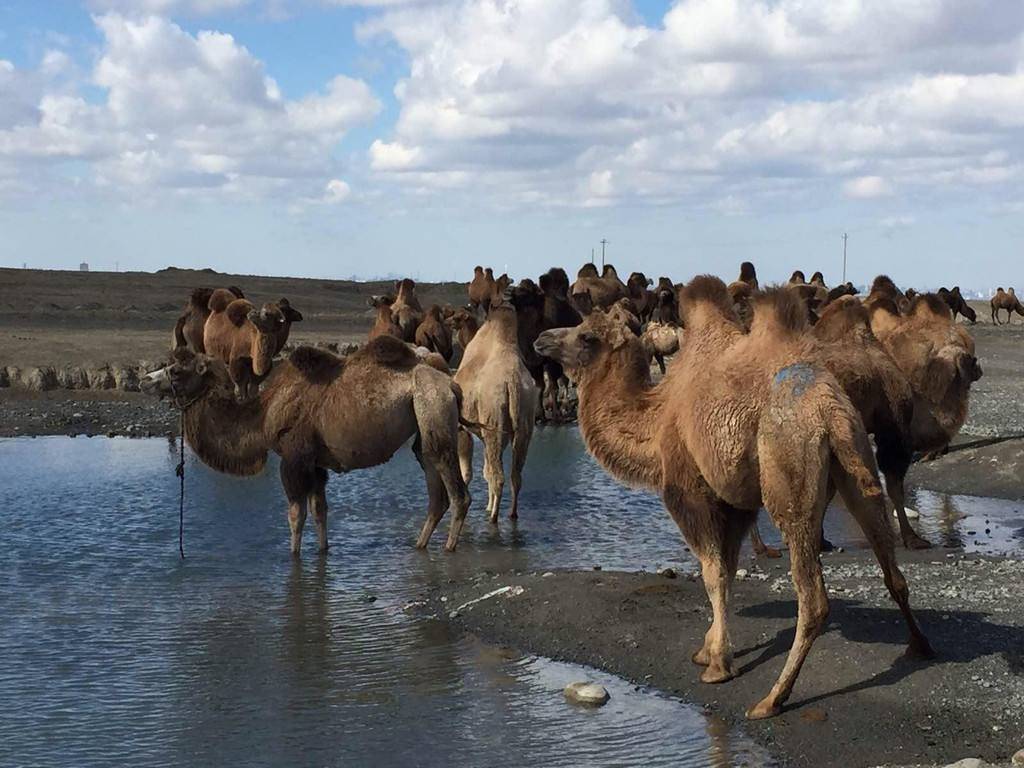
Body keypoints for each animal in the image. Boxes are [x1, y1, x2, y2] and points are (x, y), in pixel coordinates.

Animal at [141, 342, 471, 552]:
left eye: (177, 370)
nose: (144, 381)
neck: (262, 415)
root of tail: (450, 381)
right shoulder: (316, 462)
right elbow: (319, 509)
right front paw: (323, 551)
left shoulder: (293, 457)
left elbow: (295, 515)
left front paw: (294, 556)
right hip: (424, 420)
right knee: (432, 477)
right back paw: (420, 544)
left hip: (433, 404)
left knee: (456, 489)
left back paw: (449, 547)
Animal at [454, 305, 540, 524]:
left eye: (456, 318)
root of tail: (513, 382)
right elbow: (486, 471)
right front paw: (487, 505)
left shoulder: (463, 427)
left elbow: (468, 472)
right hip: (524, 420)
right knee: (514, 474)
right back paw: (511, 513)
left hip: (494, 418)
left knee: (499, 475)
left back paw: (493, 517)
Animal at [536, 280, 937, 720]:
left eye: (586, 336)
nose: (540, 340)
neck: (654, 421)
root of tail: (828, 409)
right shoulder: (736, 502)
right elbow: (726, 570)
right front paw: (707, 648)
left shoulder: (690, 491)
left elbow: (712, 573)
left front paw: (717, 665)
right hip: (856, 460)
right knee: (891, 567)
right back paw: (920, 647)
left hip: (788, 470)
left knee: (812, 596)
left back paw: (772, 699)